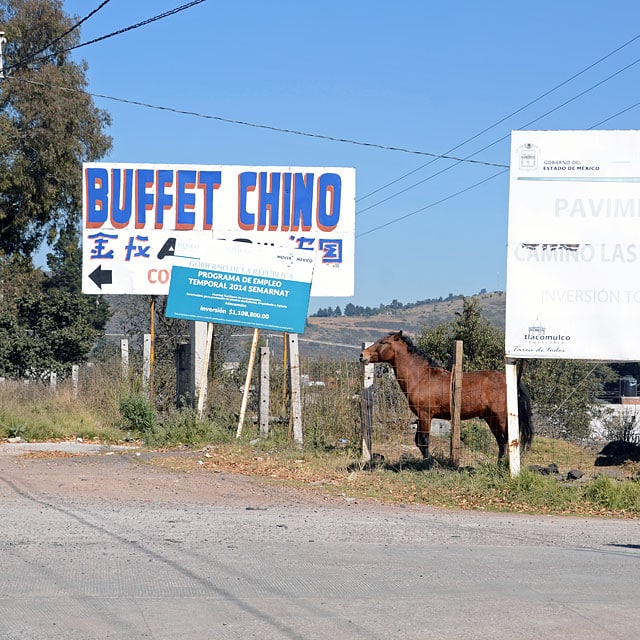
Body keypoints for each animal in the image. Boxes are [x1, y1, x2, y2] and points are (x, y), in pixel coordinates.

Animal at [358, 332, 532, 462]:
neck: (422, 377)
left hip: (500, 418)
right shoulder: (421, 417)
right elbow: (418, 442)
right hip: (491, 418)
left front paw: (428, 462)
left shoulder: (425, 415)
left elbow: (424, 442)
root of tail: (511, 380)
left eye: (383, 342)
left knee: (507, 440)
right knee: (501, 442)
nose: (362, 355)